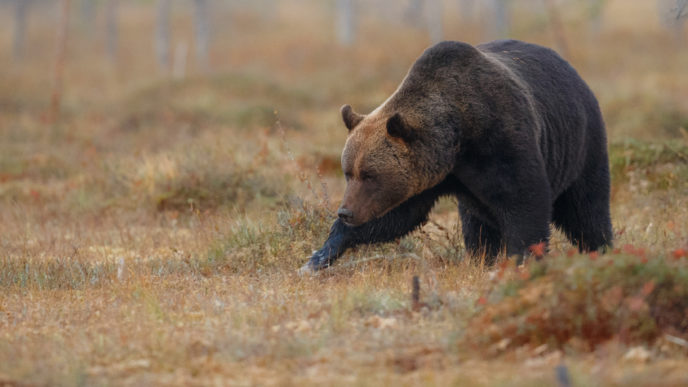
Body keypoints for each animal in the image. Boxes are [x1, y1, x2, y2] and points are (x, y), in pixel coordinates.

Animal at [300, 39, 612, 272]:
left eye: (370, 175)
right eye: (348, 172)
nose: (345, 211)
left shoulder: (501, 141)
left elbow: (525, 202)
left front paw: (522, 260)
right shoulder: (428, 177)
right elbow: (395, 217)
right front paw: (319, 256)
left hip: (582, 144)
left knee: (587, 209)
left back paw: (602, 249)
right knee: (477, 224)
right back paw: (480, 257)